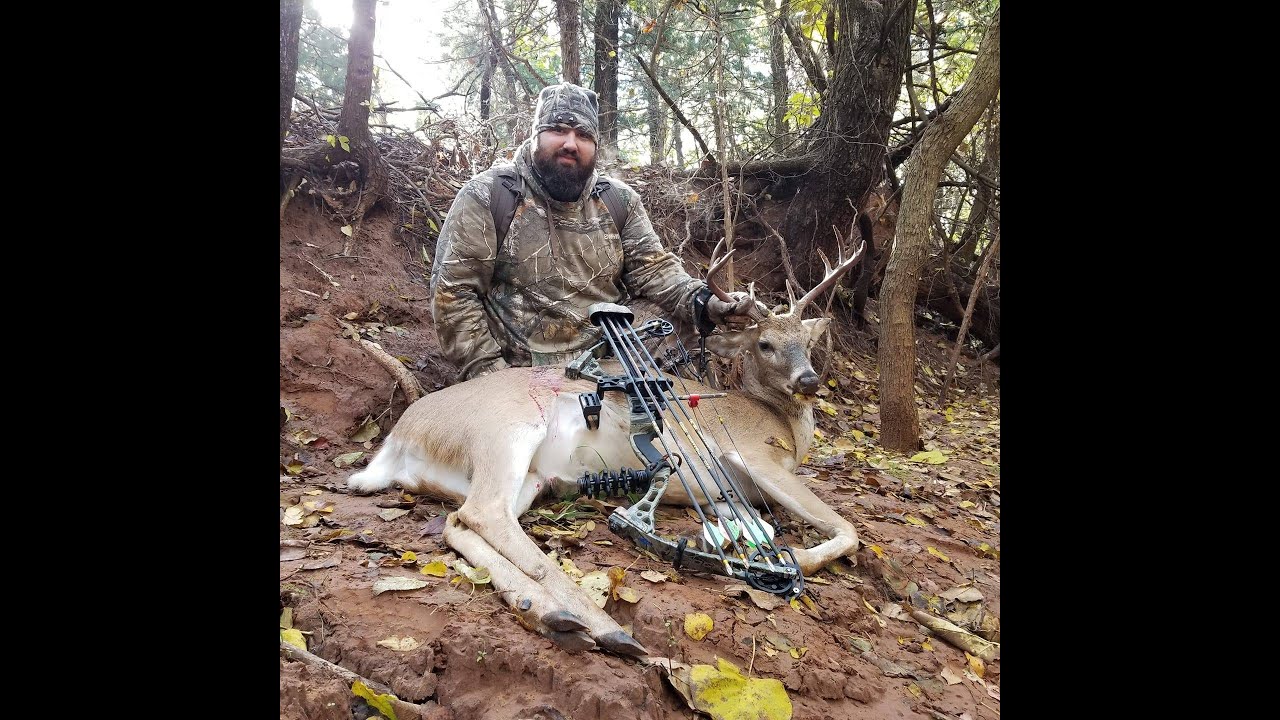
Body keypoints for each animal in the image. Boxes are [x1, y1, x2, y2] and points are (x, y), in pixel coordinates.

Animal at [347, 242, 865, 659]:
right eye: (766, 343)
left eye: (809, 343)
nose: (809, 380)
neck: (783, 425)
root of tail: (400, 435)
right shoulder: (756, 457)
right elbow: (846, 530)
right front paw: (787, 563)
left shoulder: (724, 493)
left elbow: (754, 525)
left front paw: (730, 543)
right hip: (504, 430)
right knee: (486, 513)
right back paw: (603, 627)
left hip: (526, 477)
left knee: (460, 523)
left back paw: (548, 614)